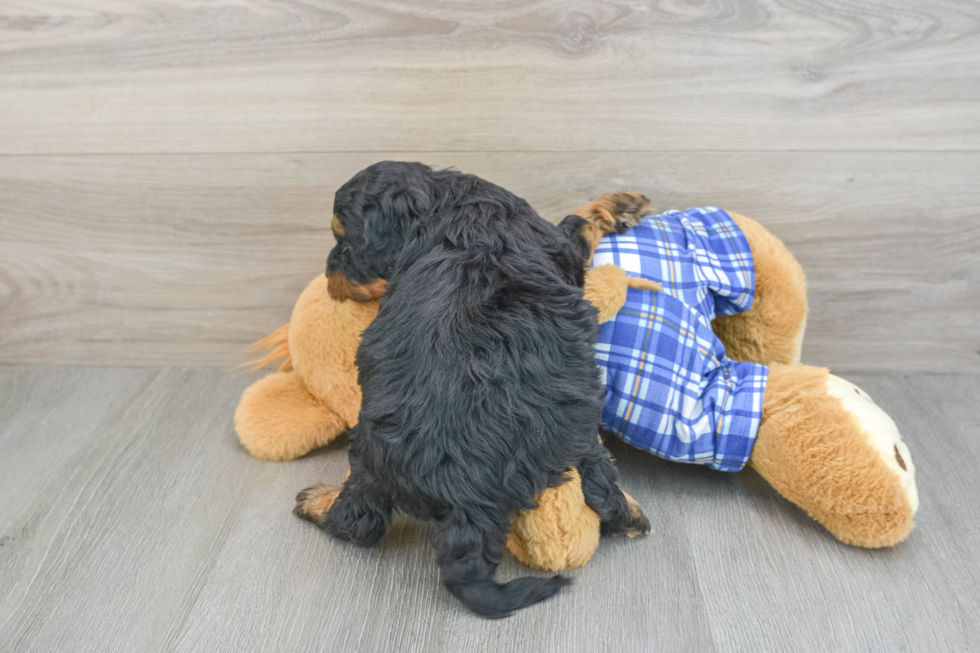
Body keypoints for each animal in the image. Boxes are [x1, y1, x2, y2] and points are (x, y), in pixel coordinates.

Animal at [298, 162, 652, 616]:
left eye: (344, 240)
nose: (328, 271)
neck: (446, 201)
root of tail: (464, 494)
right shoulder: (564, 248)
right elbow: (580, 221)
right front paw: (624, 203)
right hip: (573, 426)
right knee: (598, 484)